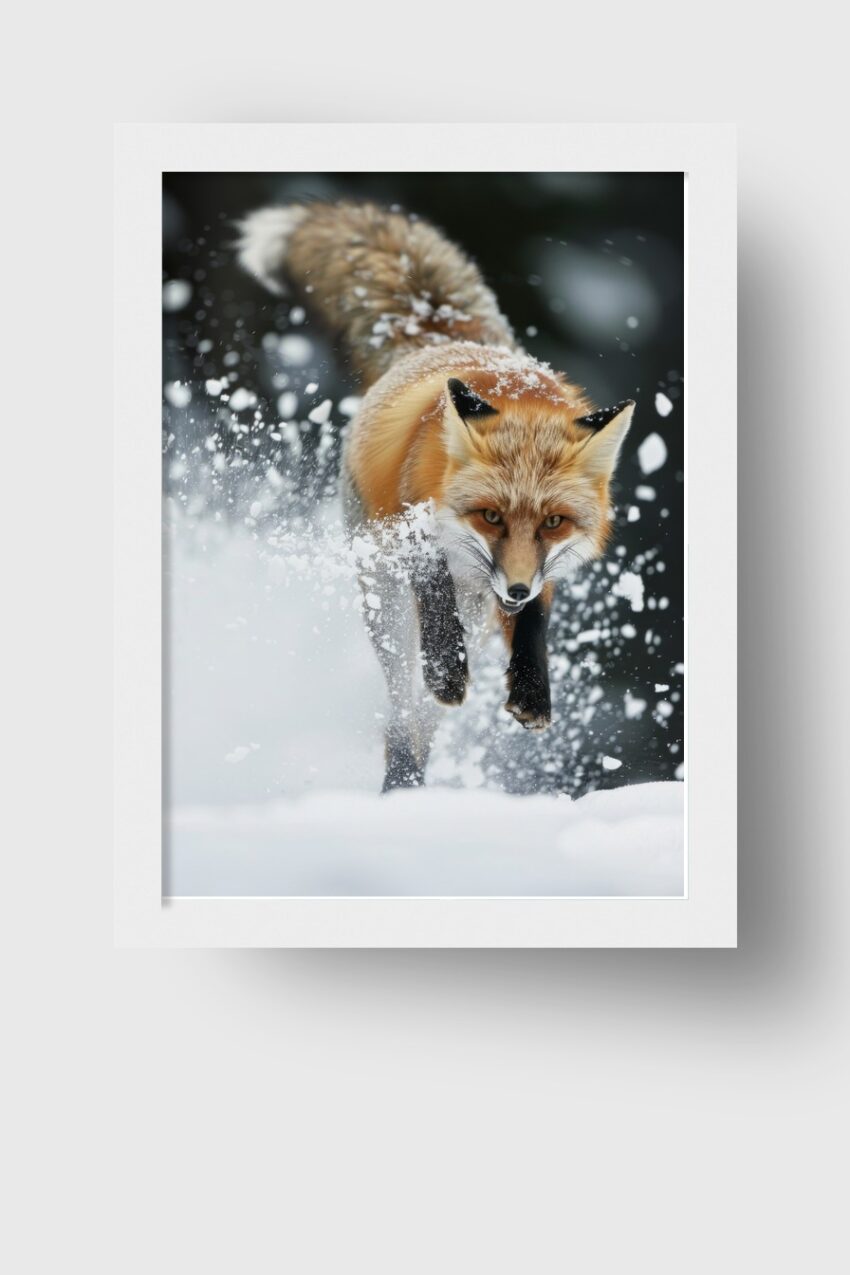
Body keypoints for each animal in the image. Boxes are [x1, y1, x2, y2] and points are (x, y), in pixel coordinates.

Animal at [238, 201, 634, 791]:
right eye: (490, 516)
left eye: (554, 523)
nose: (515, 588)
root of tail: (445, 337)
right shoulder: (415, 535)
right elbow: (436, 603)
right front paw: (448, 672)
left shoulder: (539, 575)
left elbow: (534, 623)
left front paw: (532, 693)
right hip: (386, 607)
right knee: (404, 707)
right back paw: (402, 777)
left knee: (419, 722)